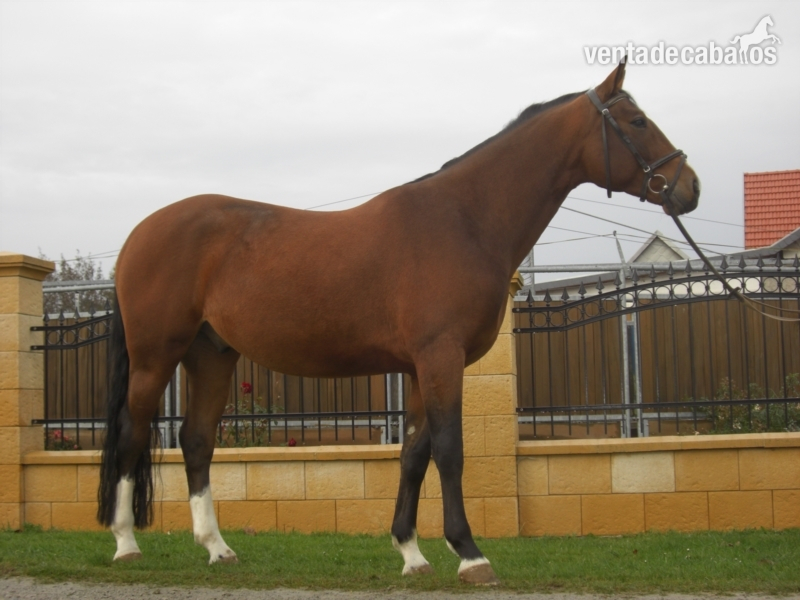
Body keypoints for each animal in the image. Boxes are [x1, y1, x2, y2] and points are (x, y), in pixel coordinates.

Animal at [97, 60, 700, 585]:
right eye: (637, 121)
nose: (689, 186)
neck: (463, 219)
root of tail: (138, 234)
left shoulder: (417, 367)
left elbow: (414, 453)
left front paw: (411, 553)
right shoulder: (441, 358)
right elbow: (450, 450)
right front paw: (470, 555)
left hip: (211, 354)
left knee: (196, 440)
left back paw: (218, 548)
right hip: (156, 356)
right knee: (131, 432)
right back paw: (126, 543)